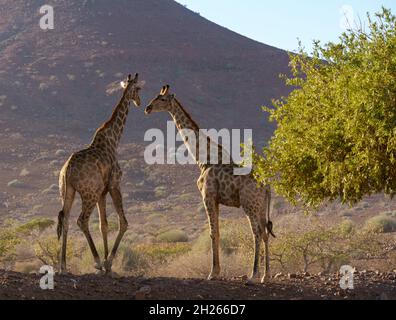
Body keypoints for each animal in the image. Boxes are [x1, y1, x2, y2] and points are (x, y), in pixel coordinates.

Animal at [55, 73, 142, 276]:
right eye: (138, 89)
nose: (139, 102)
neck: (114, 139)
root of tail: (67, 170)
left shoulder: (102, 191)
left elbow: (104, 225)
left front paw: (106, 262)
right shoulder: (114, 184)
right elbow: (123, 222)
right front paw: (107, 262)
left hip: (67, 191)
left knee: (65, 219)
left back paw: (63, 266)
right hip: (89, 194)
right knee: (81, 220)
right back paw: (95, 262)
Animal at [145, 85, 276, 282]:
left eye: (161, 99)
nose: (147, 108)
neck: (203, 160)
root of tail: (267, 186)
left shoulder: (207, 196)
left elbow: (212, 233)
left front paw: (212, 273)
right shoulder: (216, 200)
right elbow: (218, 232)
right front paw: (216, 270)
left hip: (249, 204)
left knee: (257, 232)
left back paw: (253, 275)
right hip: (261, 206)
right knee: (266, 232)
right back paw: (266, 276)